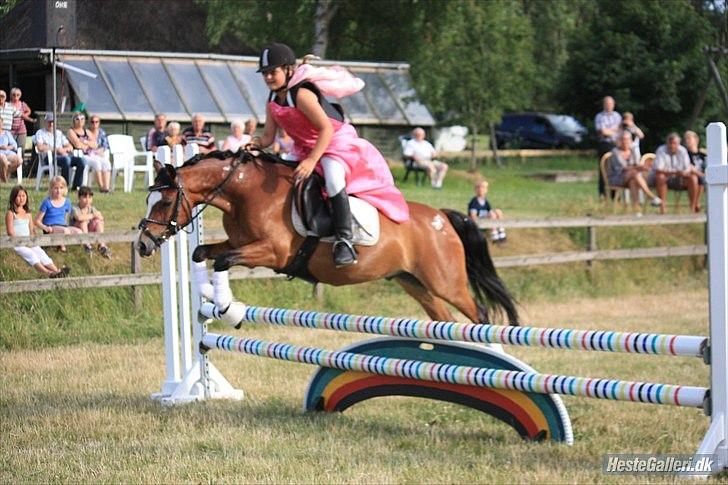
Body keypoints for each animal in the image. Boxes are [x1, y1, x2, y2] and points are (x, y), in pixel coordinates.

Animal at [137, 150, 518, 325]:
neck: (246, 194)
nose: (143, 244)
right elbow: (203, 253)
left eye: (166, 202)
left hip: (444, 280)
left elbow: (224, 261)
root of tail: (442, 216)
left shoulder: (273, 253)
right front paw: (208, 299)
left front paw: (228, 309)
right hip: (412, 281)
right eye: (149, 200)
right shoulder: (238, 243)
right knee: (445, 320)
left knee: (480, 314)